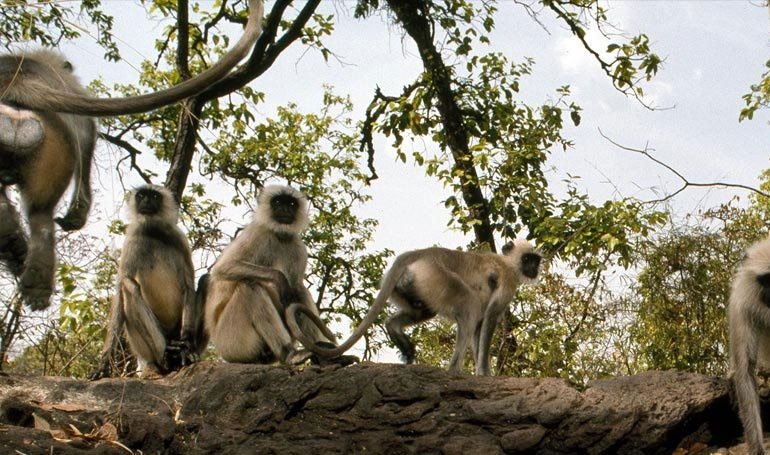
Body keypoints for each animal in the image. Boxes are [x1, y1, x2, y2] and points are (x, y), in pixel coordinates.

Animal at [89, 185, 207, 382]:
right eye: (141, 195)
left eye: (154, 196)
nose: (146, 202)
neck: (153, 231)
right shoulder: (132, 238)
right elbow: (120, 291)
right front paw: (103, 364)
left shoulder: (179, 238)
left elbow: (188, 286)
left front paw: (186, 343)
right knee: (129, 286)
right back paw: (166, 356)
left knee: (206, 279)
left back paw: (183, 353)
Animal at [286, 240, 540, 376]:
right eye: (528, 259)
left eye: (536, 260)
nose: (535, 268)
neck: (506, 263)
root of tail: (422, 253)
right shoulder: (508, 282)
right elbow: (487, 320)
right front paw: (484, 375)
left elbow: (480, 328)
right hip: (436, 277)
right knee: (470, 305)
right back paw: (453, 371)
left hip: (411, 285)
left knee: (425, 311)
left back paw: (395, 331)